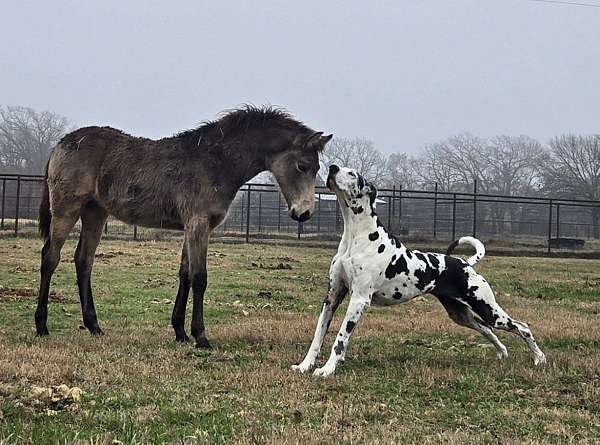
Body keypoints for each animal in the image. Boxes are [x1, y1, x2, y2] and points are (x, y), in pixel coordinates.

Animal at [36, 105, 332, 346]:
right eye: (302, 166)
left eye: (317, 168)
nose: (304, 213)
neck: (215, 161)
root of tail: (60, 144)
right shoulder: (198, 222)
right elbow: (199, 277)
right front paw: (201, 336)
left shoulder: (194, 227)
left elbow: (185, 274)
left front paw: (180, 332)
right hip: (66, 210)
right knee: (50, 257)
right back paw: (41, 325)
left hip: (95, 213)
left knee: (83, 260)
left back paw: (94, 326)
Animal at [292, 165, 548, 376]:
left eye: (352, 173)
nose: (332, 167)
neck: (358, 236)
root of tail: (466, 264)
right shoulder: (333, 296)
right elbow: (318, 336)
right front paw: (305, 365)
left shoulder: (359, 300)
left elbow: (340, 339)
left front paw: (327, 370)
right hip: (462, 315)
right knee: (489, 331)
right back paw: (502, 353)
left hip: (489, 311)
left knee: (523, 327)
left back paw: (539, 358)